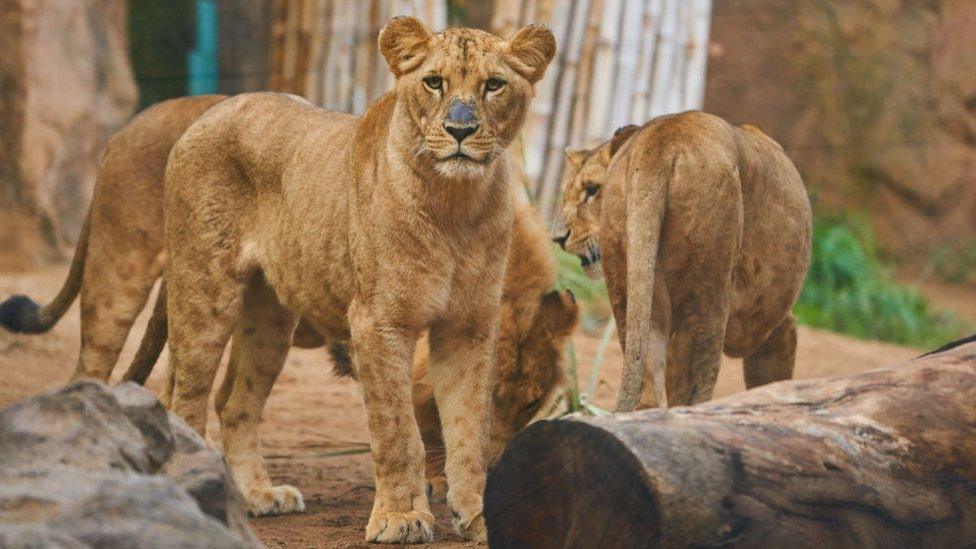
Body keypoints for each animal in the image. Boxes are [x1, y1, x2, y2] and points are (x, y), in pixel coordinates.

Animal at [163, 18, 552, 544]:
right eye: (434, 82)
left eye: (494, 85)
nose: (460, 130)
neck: (456, 205)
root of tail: (212, 108)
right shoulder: (378, 322)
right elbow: (398, 431)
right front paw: (401, 518)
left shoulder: (469, 326)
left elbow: (469, 428)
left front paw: (479, 516)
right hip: (204, 294)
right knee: (184, 399)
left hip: (270, 321)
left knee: (235, 403)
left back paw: (258, 495)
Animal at [552, 111, 812, 412]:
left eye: (592, 190)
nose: (557, 238)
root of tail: (661, 140)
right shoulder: (772, 323)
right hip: (705, 295)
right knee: (691, 391)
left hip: (631, 285)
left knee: (647, 394)